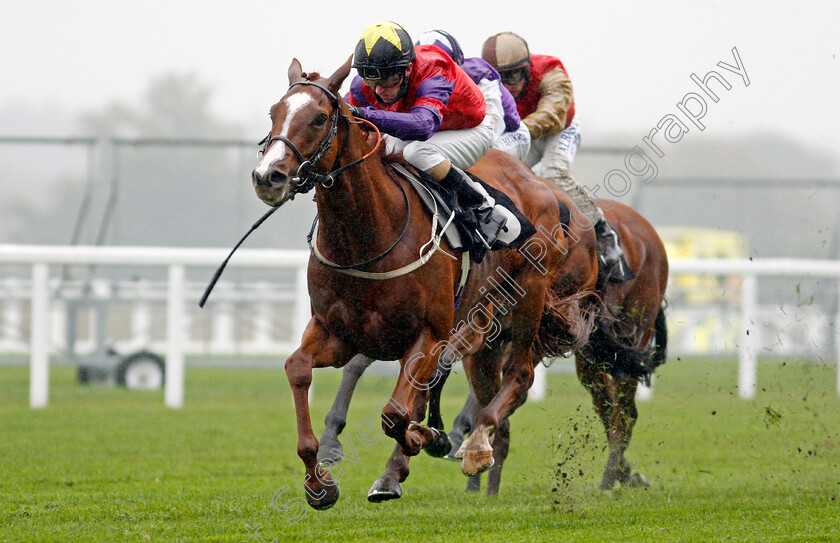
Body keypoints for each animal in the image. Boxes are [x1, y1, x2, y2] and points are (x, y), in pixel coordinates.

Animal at [253, 58, 592, 510]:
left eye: (319, 118)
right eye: (274, 112)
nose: (267, 176)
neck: (367, 237)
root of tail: (544, 187)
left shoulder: (429, 335)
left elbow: (396, 413)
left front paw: (427, 438)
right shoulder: (337, 333)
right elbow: (298, 369)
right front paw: (318, 482)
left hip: (528, 299)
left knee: (519, 376)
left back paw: (476, 445)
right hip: (483, 324)